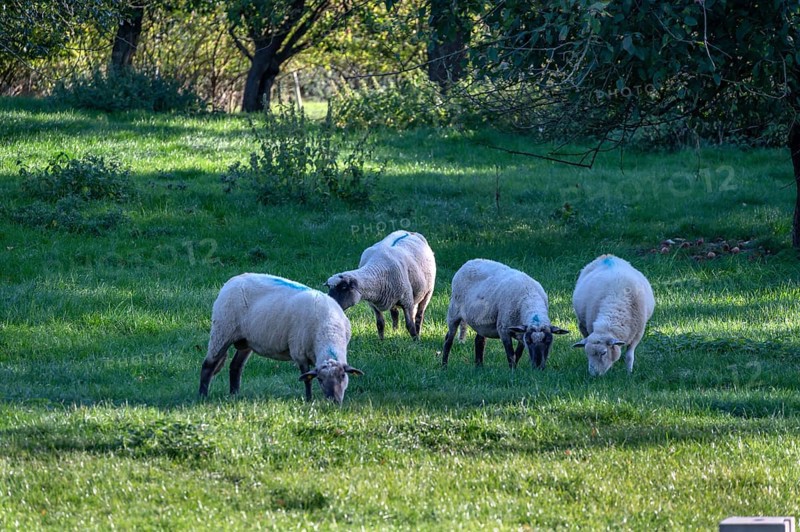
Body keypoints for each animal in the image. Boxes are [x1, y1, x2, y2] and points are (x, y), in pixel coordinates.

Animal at [198, 273, 364, 404]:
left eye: (343, 376)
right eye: (321, 380)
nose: (335, 401)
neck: (328, 330)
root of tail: (231, 281)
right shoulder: (299, 353)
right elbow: (307, 379)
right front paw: (309, 400)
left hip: (246, 340)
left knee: (235, 366)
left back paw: (235, 395)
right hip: (222, 331)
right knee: (208, 365)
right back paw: (203, 396)